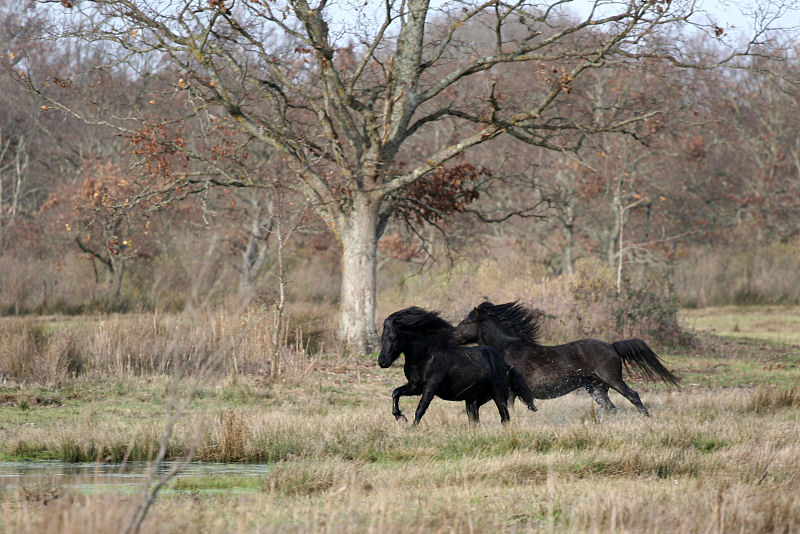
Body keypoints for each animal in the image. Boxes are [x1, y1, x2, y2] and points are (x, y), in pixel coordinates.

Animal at [376, 306, 536, 428]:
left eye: (392, 338)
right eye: (382, 337)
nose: (382, 362)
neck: (425, 356)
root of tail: (505, 364)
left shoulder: (430, 387)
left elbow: (420, 409)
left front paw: (412, 428)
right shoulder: (415, 386)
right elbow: (395, 393)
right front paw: (400, 416)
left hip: (498, 394)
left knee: (505, 417)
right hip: (474, 400)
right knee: (475, 420)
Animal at [454, 304, 680, 416]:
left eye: (465, 322)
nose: (451, 337)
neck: (507, 350)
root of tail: (612, 346)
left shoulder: (510, 391)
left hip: (613, 380)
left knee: (633, 396)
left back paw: (647, 419)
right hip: (596, 388)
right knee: (611, 408)